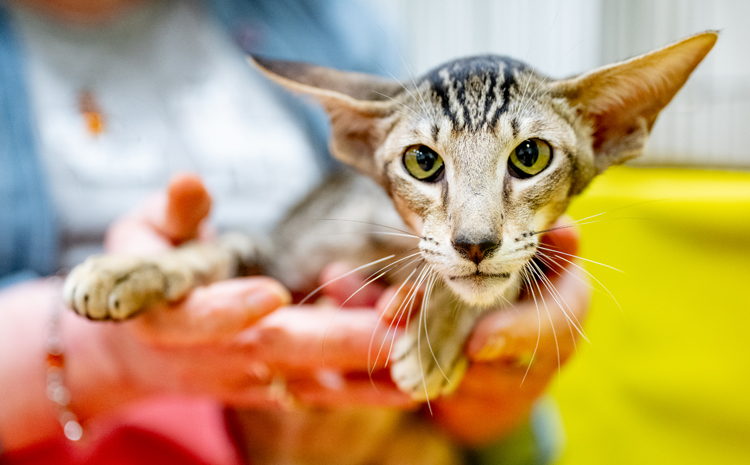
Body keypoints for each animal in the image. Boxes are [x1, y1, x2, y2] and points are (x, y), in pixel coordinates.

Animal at [63, 31, 717, 465]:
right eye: (422, 161)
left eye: (530, 156)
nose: (474, 242)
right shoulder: (284, 247)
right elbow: (218, 246)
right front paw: (131, 268)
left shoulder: (542, 249)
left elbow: (503, 279)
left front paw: (436, 337)